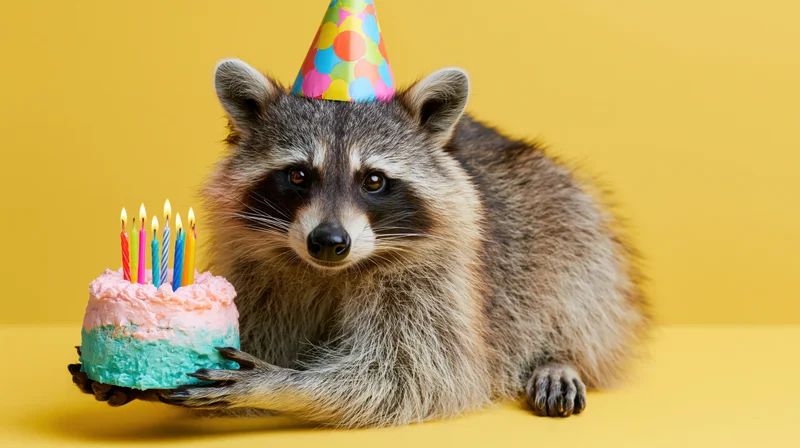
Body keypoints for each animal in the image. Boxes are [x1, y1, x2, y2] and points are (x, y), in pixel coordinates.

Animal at [70, 59, 650, 427]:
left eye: (373, 180)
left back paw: (562, 355)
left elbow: (412, 376)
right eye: (298, 175)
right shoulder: (256, 268)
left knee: (579, 286)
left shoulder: (435, 282)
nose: (329, 241)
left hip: (564, 212)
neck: (331, 271)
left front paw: (283, 384)